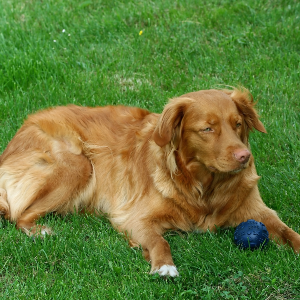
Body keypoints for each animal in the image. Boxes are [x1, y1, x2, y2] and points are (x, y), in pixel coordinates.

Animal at [0, 87, 300, 276]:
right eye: (207, 129)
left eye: (237, 124)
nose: (244, 156)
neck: (204, 188)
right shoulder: (135, 217)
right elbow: (159, 241)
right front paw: (164, 266)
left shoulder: (258, 211)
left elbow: (287, 231)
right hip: (79, 165)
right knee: (19, 215)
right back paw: (42, 232)